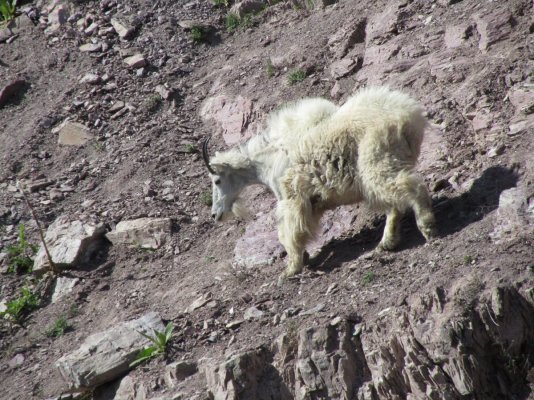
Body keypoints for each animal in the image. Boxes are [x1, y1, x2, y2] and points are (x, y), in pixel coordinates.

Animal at [203, 87, 438, 282]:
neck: (268, 162)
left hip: (376, 160)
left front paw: (291, 269)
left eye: (217, 180)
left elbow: (287, 232)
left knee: (409, 187)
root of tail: (409, 116)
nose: (216, 214)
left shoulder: (292, 198)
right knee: (394, 201)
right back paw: (386, 243)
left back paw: (427, 227)